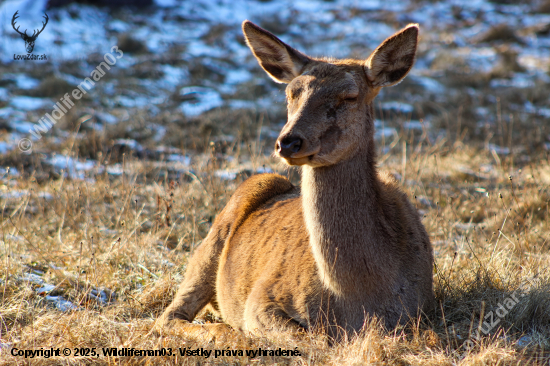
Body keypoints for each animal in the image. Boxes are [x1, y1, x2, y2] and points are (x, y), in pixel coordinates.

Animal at [155, 20, 436, 344]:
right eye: (291, 93)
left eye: (349, 96)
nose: (288, 141)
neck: (356, 297)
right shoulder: (262, 298)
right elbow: (310, 338)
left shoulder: (417, 310)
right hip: (212, 240)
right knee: (168, 316)